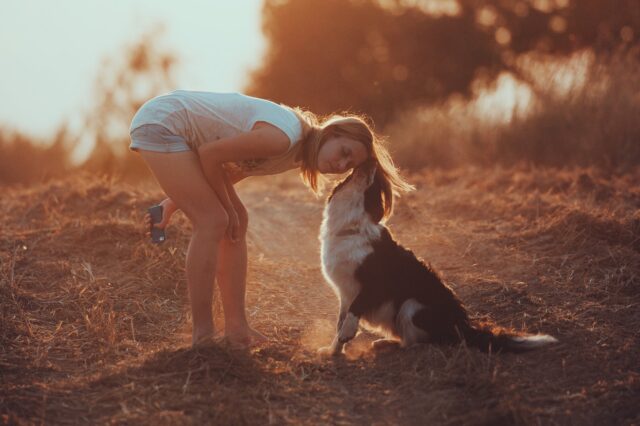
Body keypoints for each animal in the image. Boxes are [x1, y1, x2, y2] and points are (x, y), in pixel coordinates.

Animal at [318, 163, 556, 356]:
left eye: (375, 188)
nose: (369, 162)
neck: (351, 229)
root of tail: (463, 326)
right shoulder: (344, 293)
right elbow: (340, 321)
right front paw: (333, 351)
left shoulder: (372, 285)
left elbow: (353, 311)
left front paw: (347, 335)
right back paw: (384, 343)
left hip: (411, 306)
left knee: (419, 342)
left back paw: (392, 346)